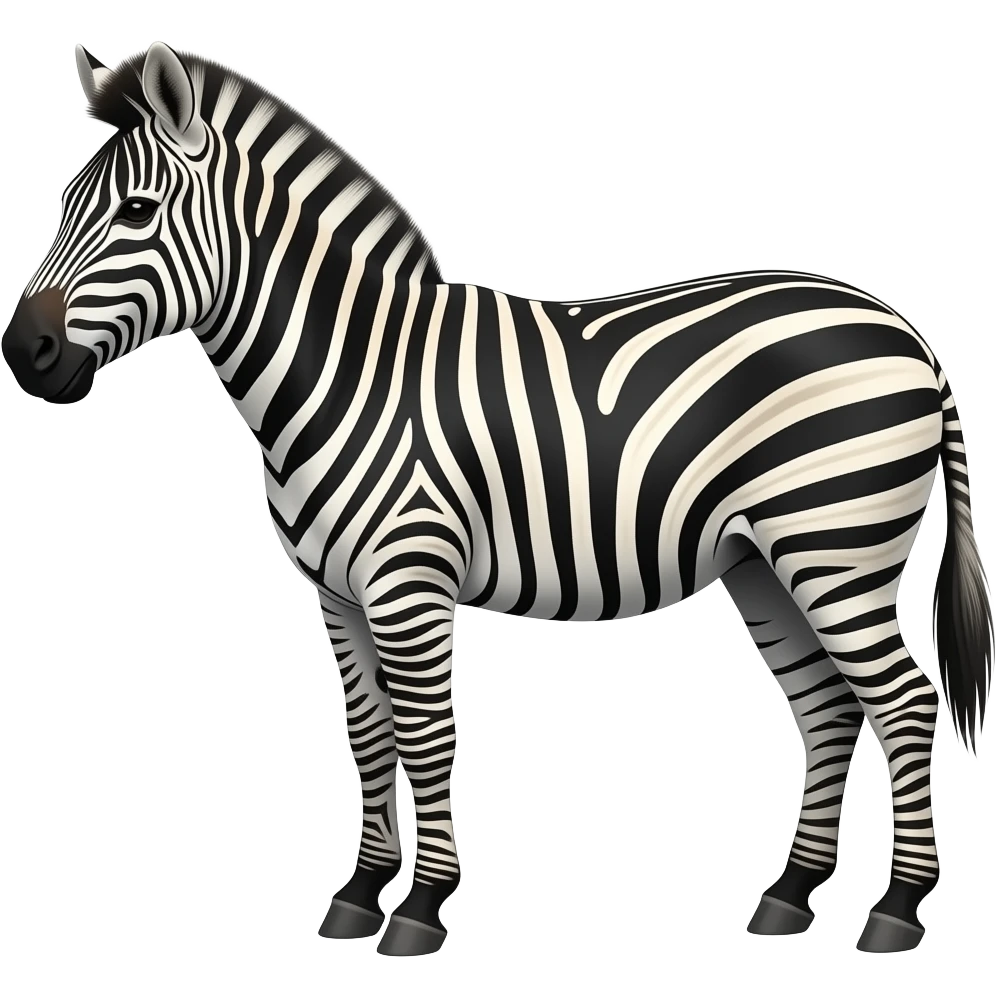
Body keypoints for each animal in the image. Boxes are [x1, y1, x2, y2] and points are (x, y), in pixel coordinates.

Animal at [2, 42, 991, 958]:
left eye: (135, 211)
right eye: (60, 205)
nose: (25, 354)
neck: (350, 370)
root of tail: (907, 329)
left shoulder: (409, 579)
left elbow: (427, 732)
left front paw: (419, 910)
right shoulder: (337, 595)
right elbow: (370, 735)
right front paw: (357, 896)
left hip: (837, 545)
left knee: (904, 701)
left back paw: (897, 911)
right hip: (763, 562)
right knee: (828, 705)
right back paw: (788, 894)